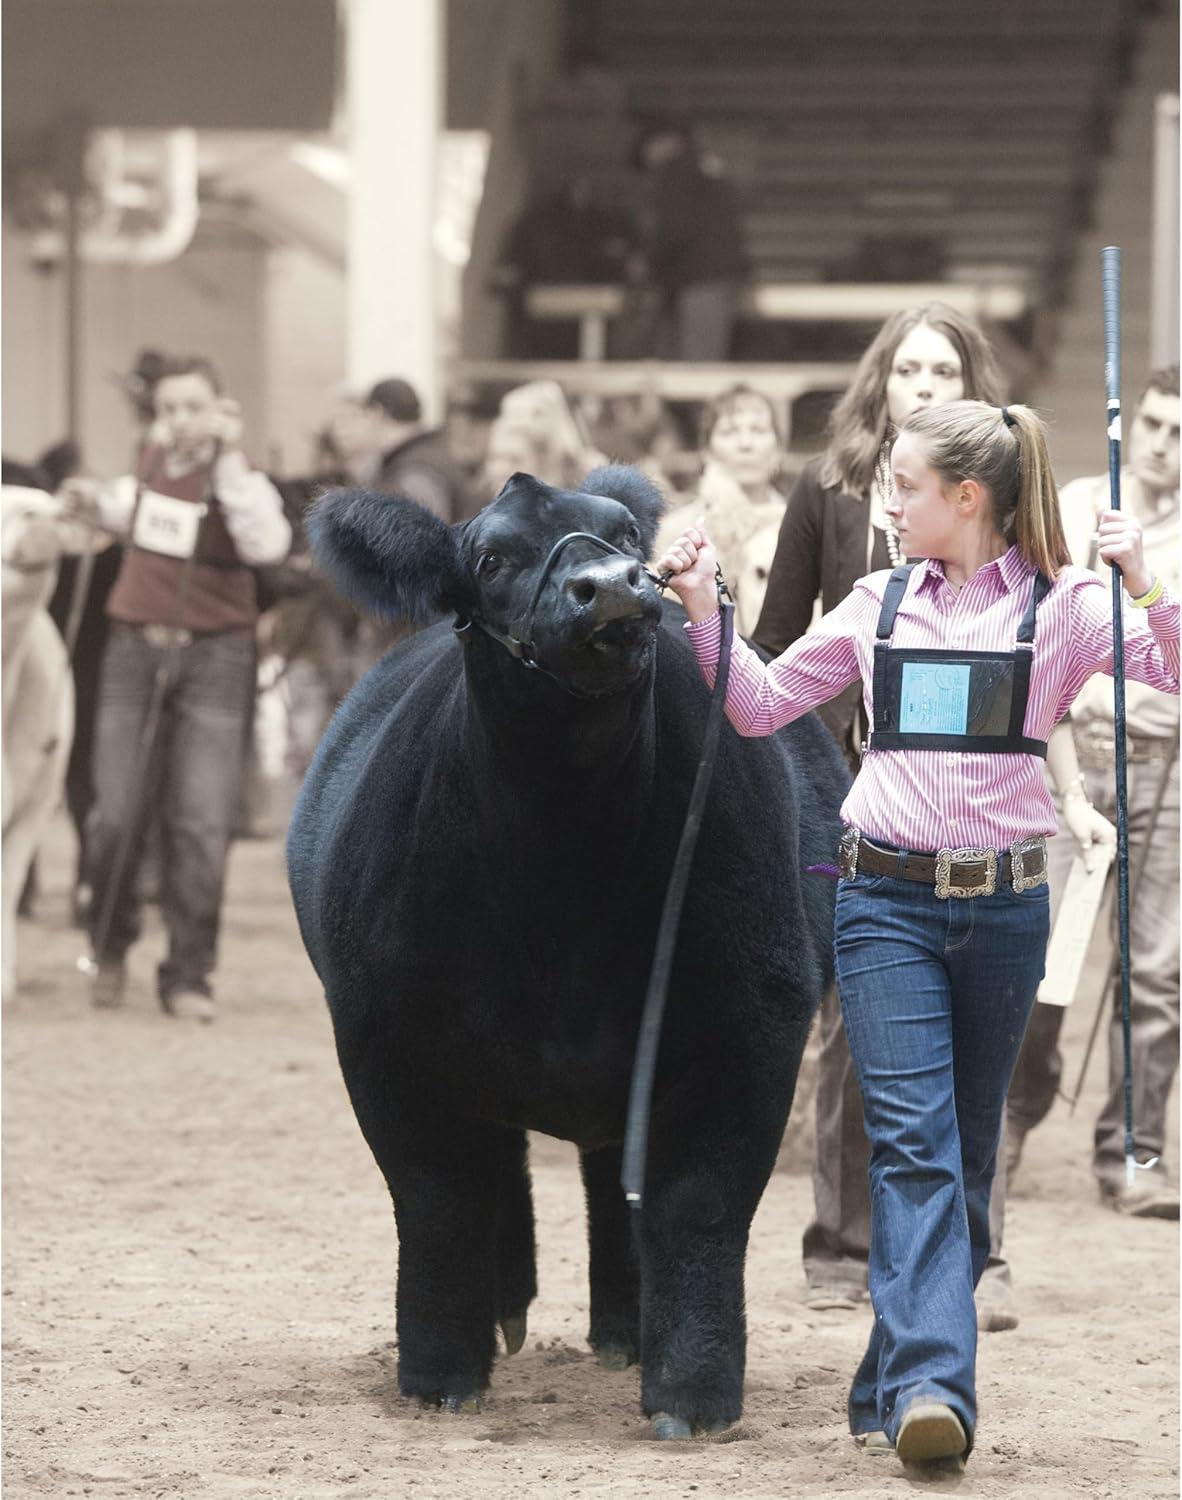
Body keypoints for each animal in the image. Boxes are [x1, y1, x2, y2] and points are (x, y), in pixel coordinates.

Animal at [287, 467, 848, 1438]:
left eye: (623, 534)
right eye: (489, 559)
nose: (613, 586)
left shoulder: (750, 1029)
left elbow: (696, 1206)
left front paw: (692, 1395)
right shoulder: (382, 1038)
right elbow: (439, 1199)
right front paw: (441, 1375)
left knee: (612, 1182)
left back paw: (624, 1332)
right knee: (504, 1169)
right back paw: (508, 1313)